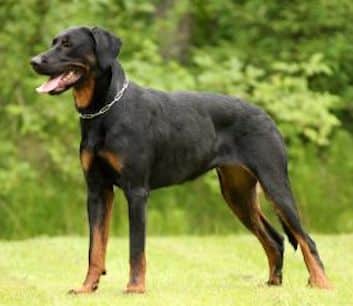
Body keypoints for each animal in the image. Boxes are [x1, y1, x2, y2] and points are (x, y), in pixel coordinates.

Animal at [30, 26, 330, 294]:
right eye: (54, 41)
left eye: (68, 44)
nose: (34, 61)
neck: (104, 110)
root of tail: (267, 117)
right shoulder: (97, 190)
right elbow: (95, 247)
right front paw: (86, 287)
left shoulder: (136, 191)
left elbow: (136, 248)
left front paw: (135, 288)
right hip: (237, 193)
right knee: (276, 238)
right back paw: (273, 284)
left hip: (274, 183)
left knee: (307, 239)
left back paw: (322, 284)